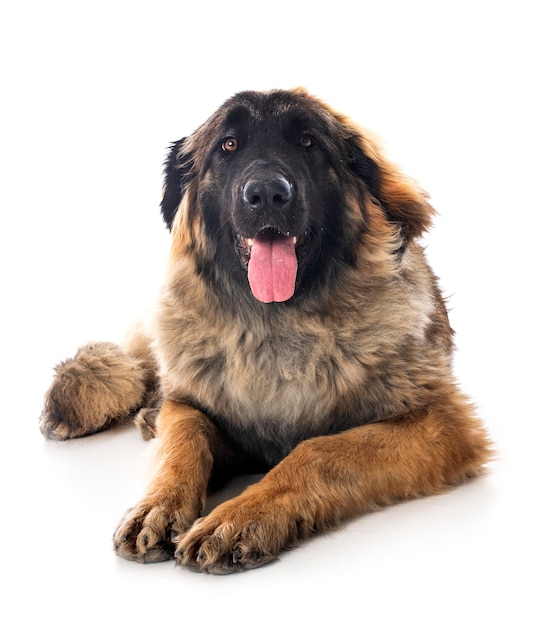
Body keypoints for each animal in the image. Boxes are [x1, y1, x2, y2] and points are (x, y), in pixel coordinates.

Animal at [40, 86, 490, 572]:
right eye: (228, 145)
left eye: (308, 142)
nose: (267, 193)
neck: (275, 324)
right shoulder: (194, 401)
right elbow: (183, 437)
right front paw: (158, 505)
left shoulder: (439, 421)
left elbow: (318, 451)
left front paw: (240, 517)